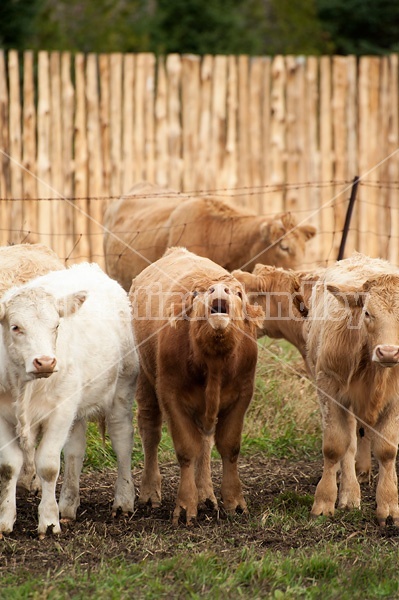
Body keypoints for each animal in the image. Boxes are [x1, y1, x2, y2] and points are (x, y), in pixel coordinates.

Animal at [130, 246, 264, 524]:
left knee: (205, 441)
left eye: (237, 292)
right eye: (197, 293)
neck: (214, 363)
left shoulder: (242, 395)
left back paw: (206, 495)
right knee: (150, 432)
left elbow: (229, 447)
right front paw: (185, 506)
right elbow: (186, 450)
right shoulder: (170, 396)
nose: (219, 290)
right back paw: (150, 492)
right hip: (145, 382)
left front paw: (234, 502)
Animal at [310, 253, 399, 524]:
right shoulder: (329, 388)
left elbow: (387, 450)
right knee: (349, 442)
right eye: (368, 313)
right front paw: (325, 500)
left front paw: (389, 504)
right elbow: (335, 446)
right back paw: (350, 494)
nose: (388, 352)